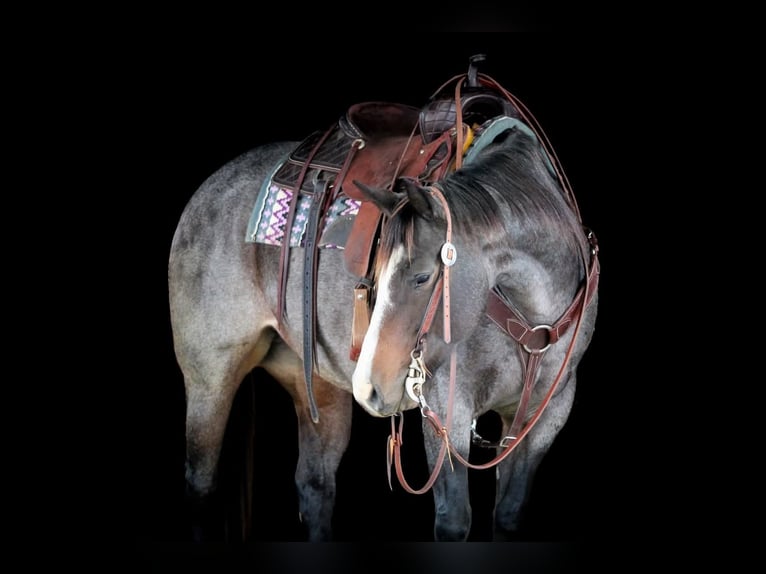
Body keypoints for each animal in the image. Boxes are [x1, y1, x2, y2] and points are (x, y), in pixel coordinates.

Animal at [168, 56, 600, 542]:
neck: (530, 309)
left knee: (314, 486)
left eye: (423, 277)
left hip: (314, 379)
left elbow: (508, 514)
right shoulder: (447, 408)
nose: (370, 386)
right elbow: (454, 520)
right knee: (201, 485)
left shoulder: (545, 416)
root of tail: (209, 188)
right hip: (210, 377)